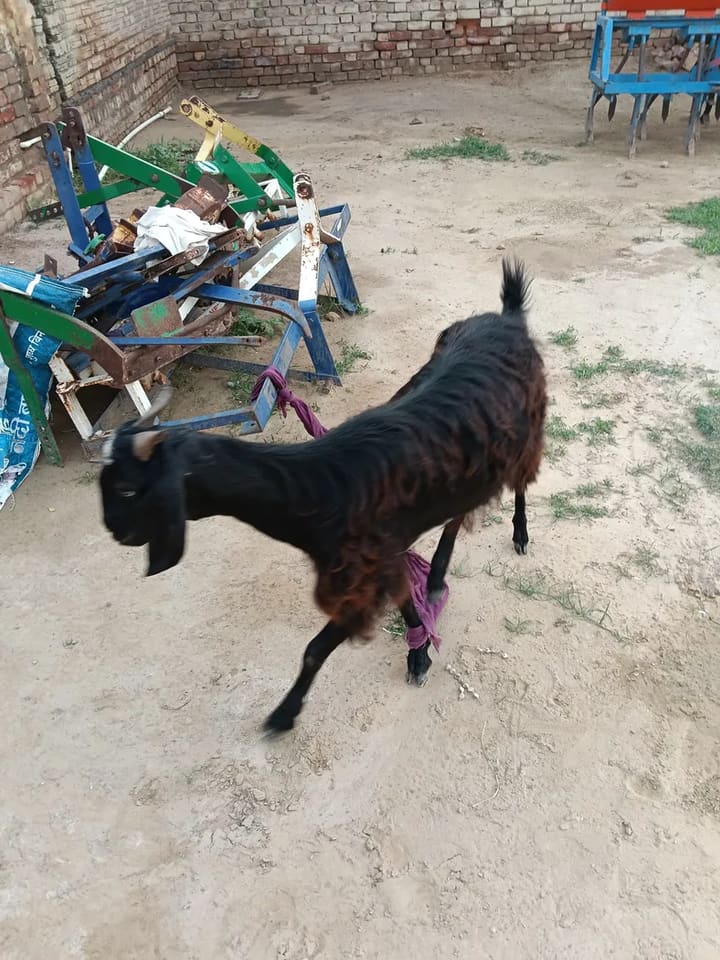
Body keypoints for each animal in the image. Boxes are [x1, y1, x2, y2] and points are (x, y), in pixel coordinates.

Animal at [99, 258, 546, 732]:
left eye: (128, 488)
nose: (115, 532)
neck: (322, 488)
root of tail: (509, 317)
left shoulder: (360, 576)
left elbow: (315, 649)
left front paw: (284, 713)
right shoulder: (383, 561)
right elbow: (405, 602)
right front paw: (419, 650)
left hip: (527, 436)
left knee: (519, 487)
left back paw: (519, 535)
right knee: (458, 515)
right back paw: (438, 577)